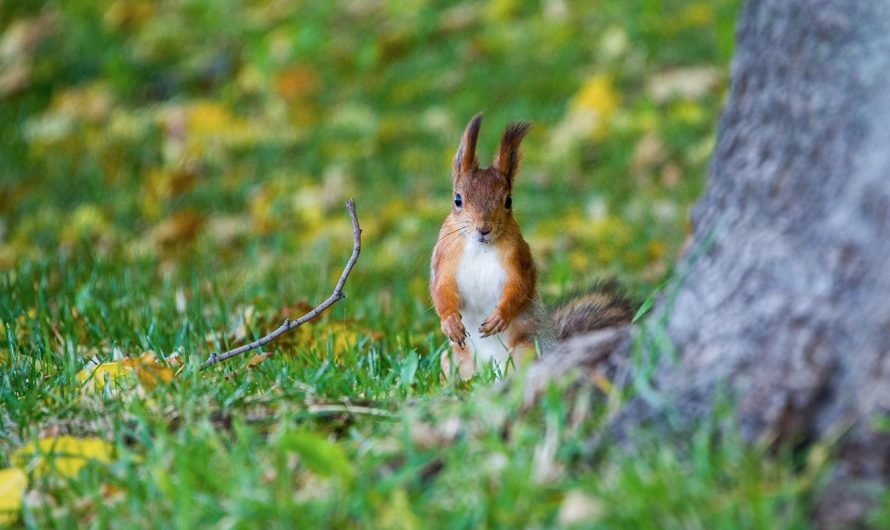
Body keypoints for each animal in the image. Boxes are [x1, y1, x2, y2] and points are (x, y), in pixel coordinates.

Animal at [428, 112, 632, 380]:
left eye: (508, 201)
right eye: (458, 199)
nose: (484, 228)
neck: (480, 247)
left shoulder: (518, 257)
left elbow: (520, 286)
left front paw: (499, 317)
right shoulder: (444, 256)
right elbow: (440, 289)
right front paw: (450, 322)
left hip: (525, 350)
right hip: (455, 359)